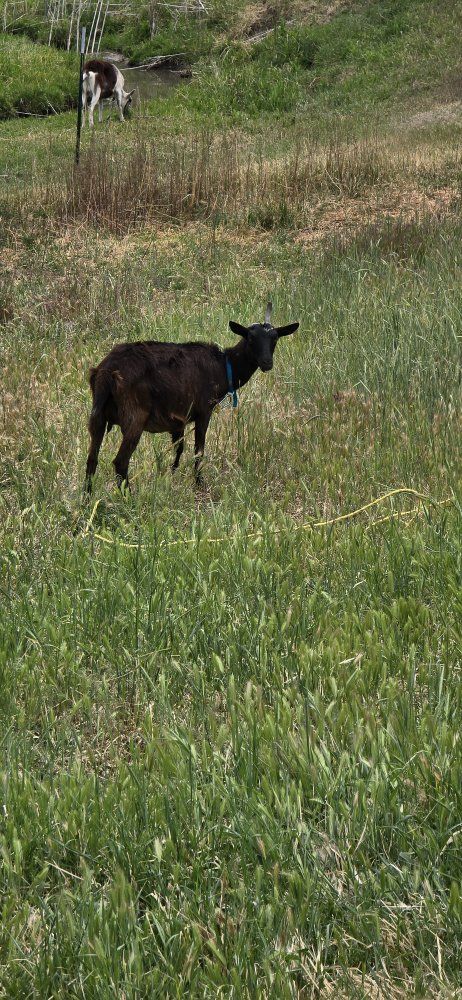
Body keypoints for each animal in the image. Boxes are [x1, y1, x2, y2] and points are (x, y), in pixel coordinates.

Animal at [84, 303, 299, 491]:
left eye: (275, 338)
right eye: (251, 338)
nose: (267, 363)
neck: (224, 366)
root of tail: (105, 372)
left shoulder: (177, 420)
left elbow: (179, 448)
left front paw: (172, 475)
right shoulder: (204, 410)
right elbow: (198, 451)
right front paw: (198, 483)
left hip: (98, 415)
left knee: (92, 458)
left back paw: (87, 498)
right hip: (135, 415)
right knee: (120, 461)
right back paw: (128, 496)